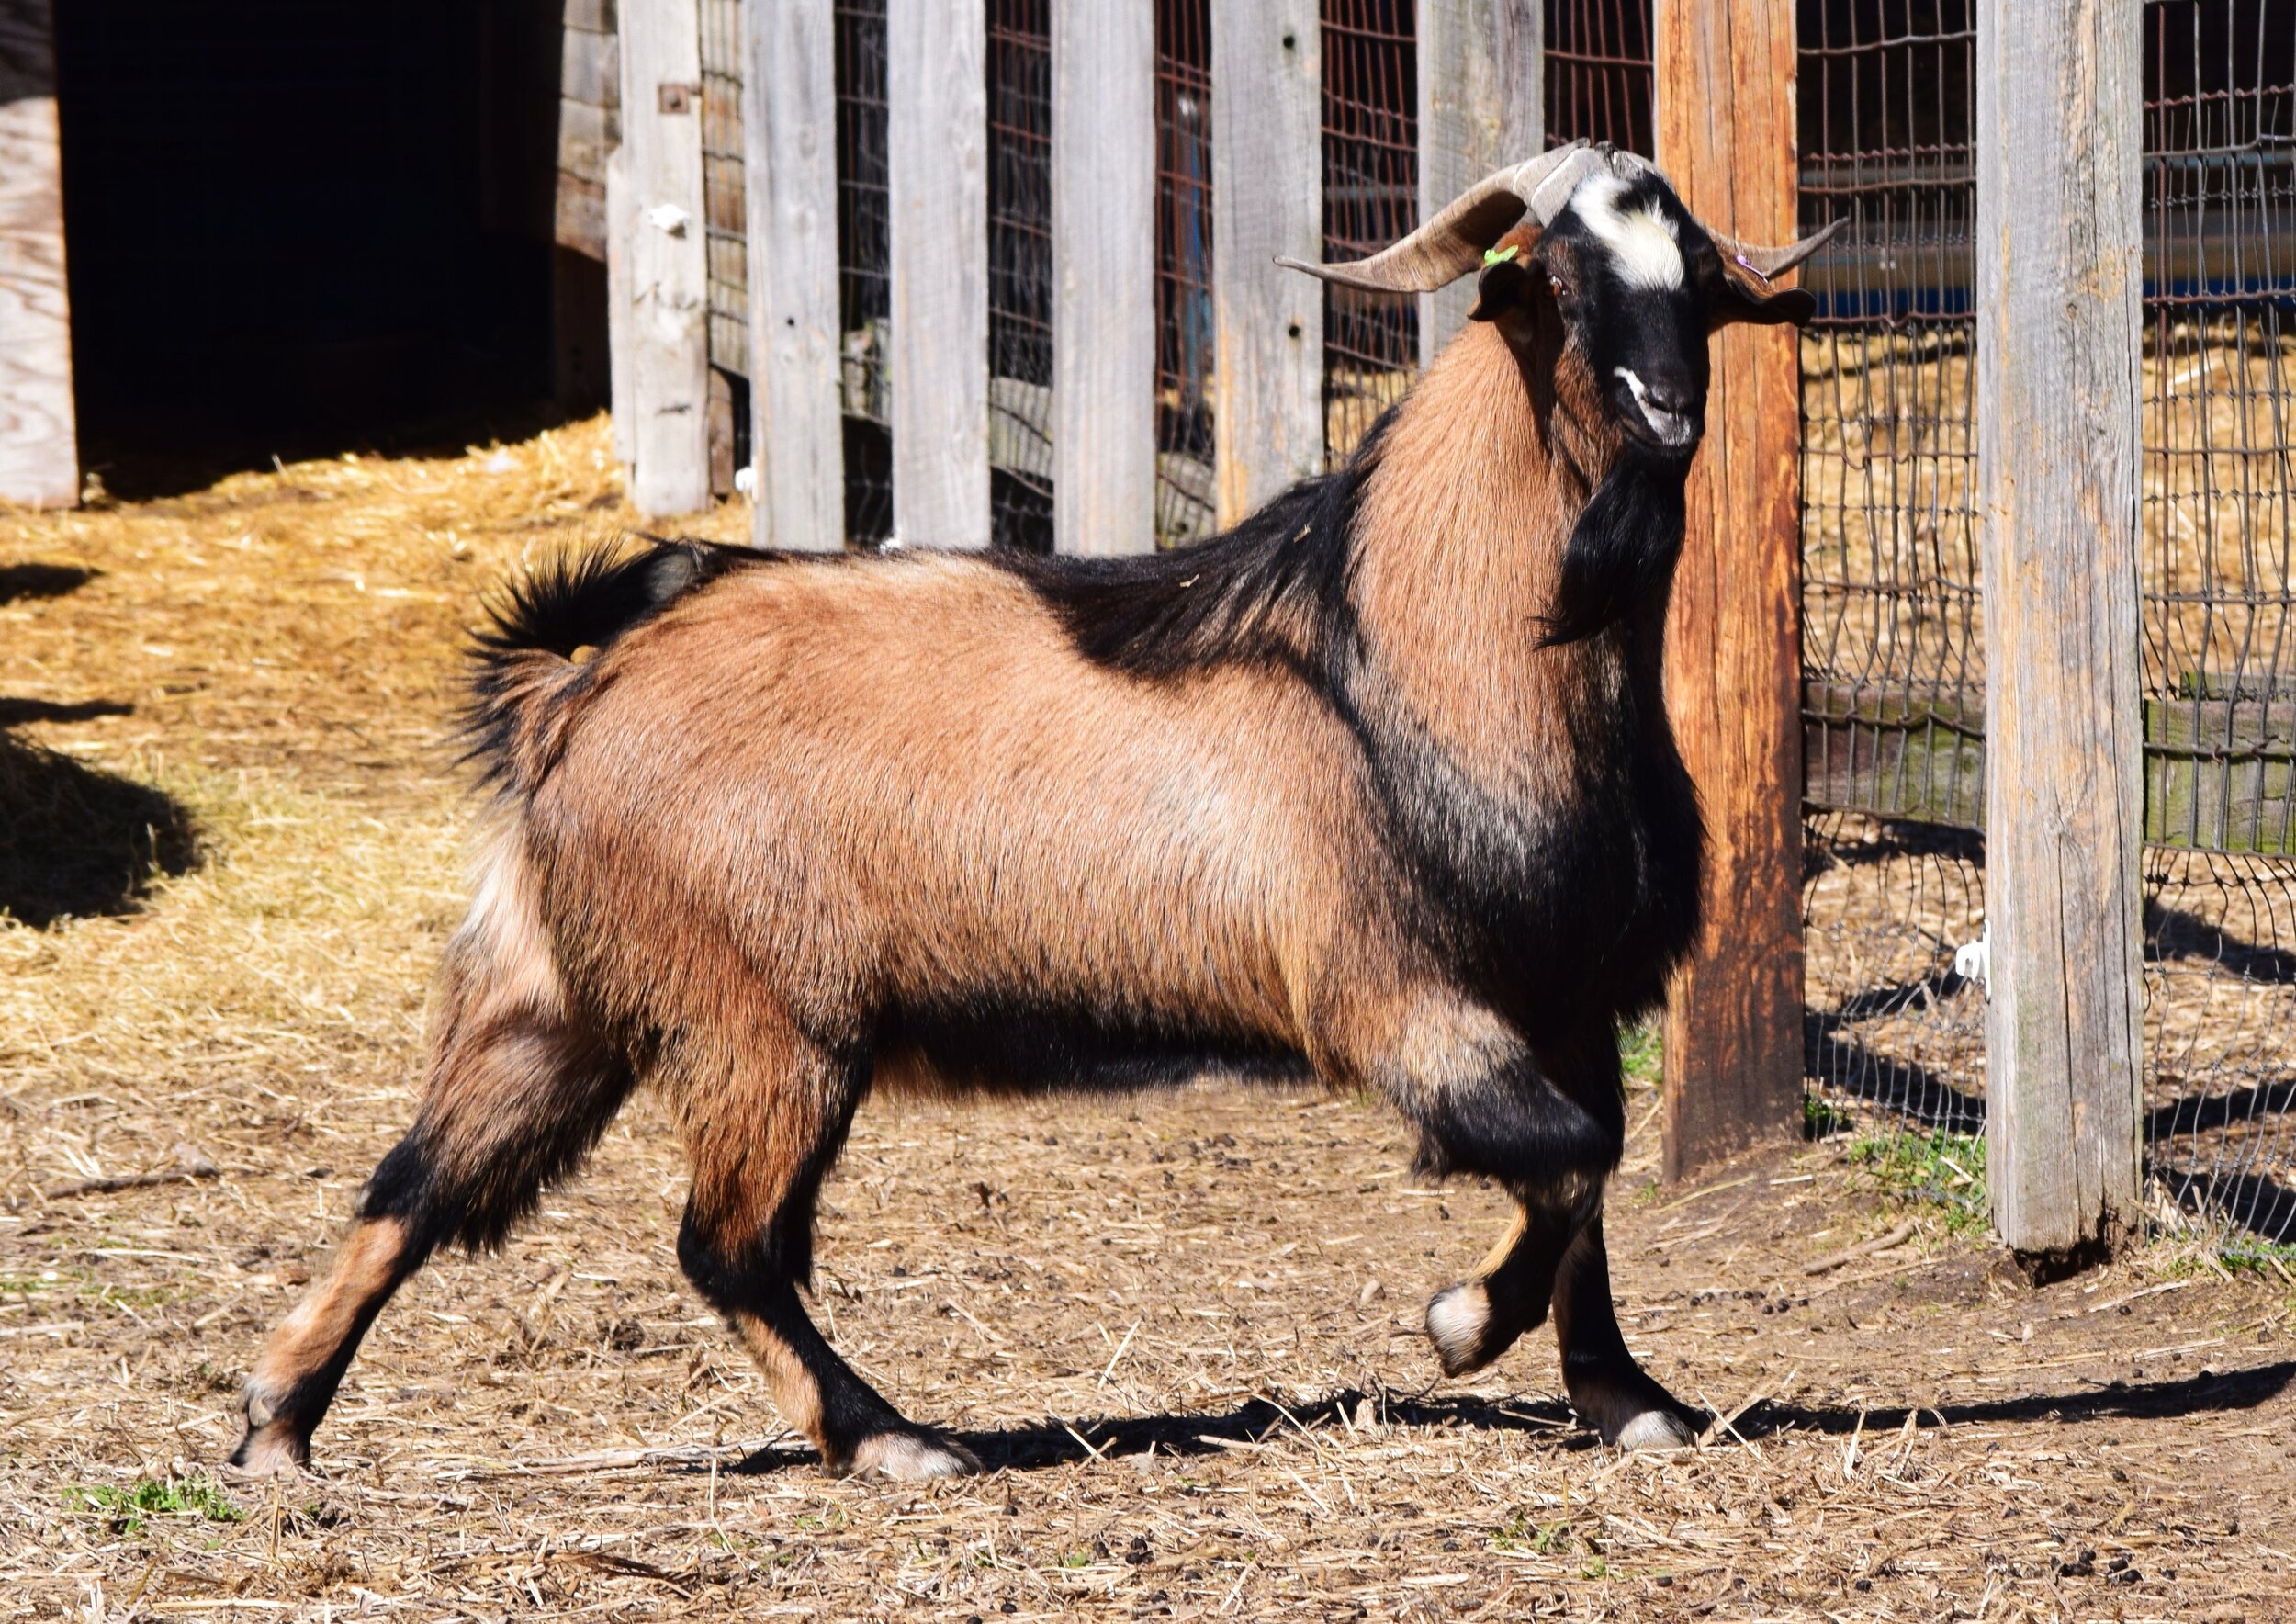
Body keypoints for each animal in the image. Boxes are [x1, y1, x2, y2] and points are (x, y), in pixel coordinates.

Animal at [233, 143, 1834, 1479]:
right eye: (1555, 278)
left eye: (1693, 284)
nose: (1667, 412)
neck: (1409, 650)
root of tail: (577, 691)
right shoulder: (1398, 1001)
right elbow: (1564, 1162)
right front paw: (1459, 1325)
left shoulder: (1571, 1000)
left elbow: (1593, 1184)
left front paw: (1631, 1399)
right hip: (767, 1022)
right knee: (725, 1246)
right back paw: (892, 1440)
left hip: (555, 997)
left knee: (418, 1186)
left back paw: (274, 1429)